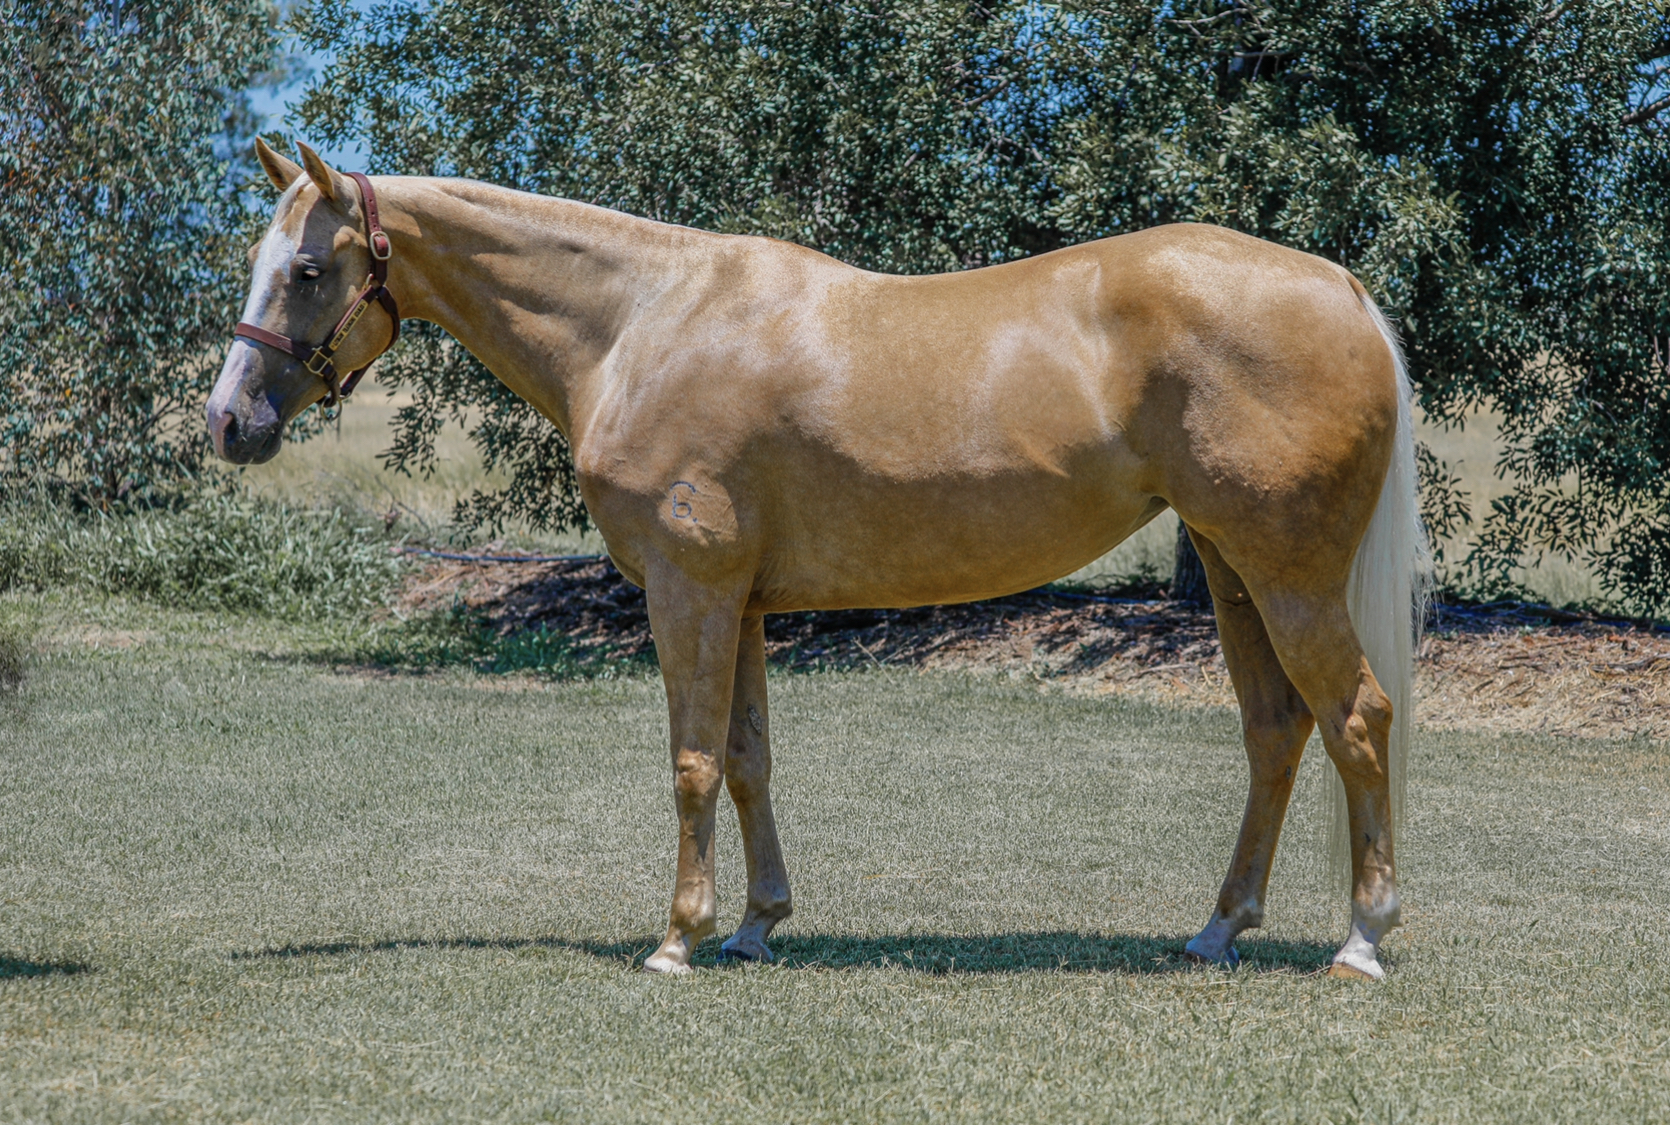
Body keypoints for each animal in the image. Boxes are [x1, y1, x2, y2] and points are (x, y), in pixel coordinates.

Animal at [209, 138, 1426, 980]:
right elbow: (747, 758)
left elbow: (692, 762)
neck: (639, 323)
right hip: (1230, 569)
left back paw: (1361, 942)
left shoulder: (688, 590)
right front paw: (755, 925)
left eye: (310, 269)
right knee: (1275, 732)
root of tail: (1342, 288)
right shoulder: (741, 601)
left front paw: (677, 940)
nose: (228, 422)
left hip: (1289, 575)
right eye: (262, 261)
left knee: (1356, 719)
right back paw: (1217, 930)